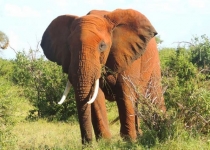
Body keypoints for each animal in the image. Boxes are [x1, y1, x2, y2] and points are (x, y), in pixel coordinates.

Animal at [40, 8, 166, 144]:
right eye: (69, 47)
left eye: (102, 46)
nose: (87, 143)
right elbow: (96, 96)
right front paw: (105, 142)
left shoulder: (129, 58)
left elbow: (125, 92)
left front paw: (129, 142)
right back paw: (140, 135)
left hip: (153, 62)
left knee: (154, 96)